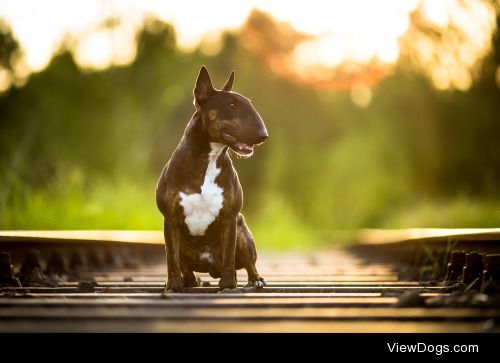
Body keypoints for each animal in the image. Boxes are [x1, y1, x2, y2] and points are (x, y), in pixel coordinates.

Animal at [156, 66, 268, 292]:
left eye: (249, 104)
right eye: (232, 105)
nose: (264, 135)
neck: (208, 159)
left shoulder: (230, 219)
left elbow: (229, 257)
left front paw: (228, 285)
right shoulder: (170, 220)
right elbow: (171, 258)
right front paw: (173, 286)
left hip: (243, 233)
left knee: (249, 263)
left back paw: (256, 280)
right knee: (185, 269)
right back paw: (186, 282)